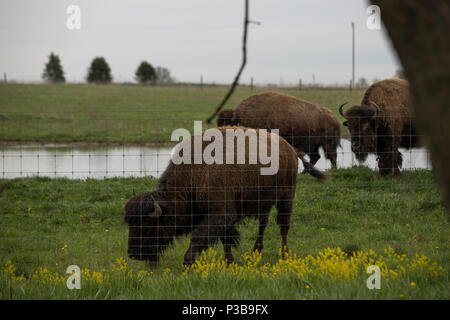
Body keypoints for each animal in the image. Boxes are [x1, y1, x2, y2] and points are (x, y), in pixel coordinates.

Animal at [123, 126, 298, 266]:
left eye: (146, 225)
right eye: (130, 224)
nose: (133, 253)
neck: (196, 172)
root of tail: (288, 148)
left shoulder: (221, 213)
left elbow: (199, 236)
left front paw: (188, 262)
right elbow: (225, 238)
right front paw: (229, 261)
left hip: (287, 197)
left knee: (283, 225)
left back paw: (285, 254)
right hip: (264, 202)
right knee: (263, 223)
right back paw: (257, 250)